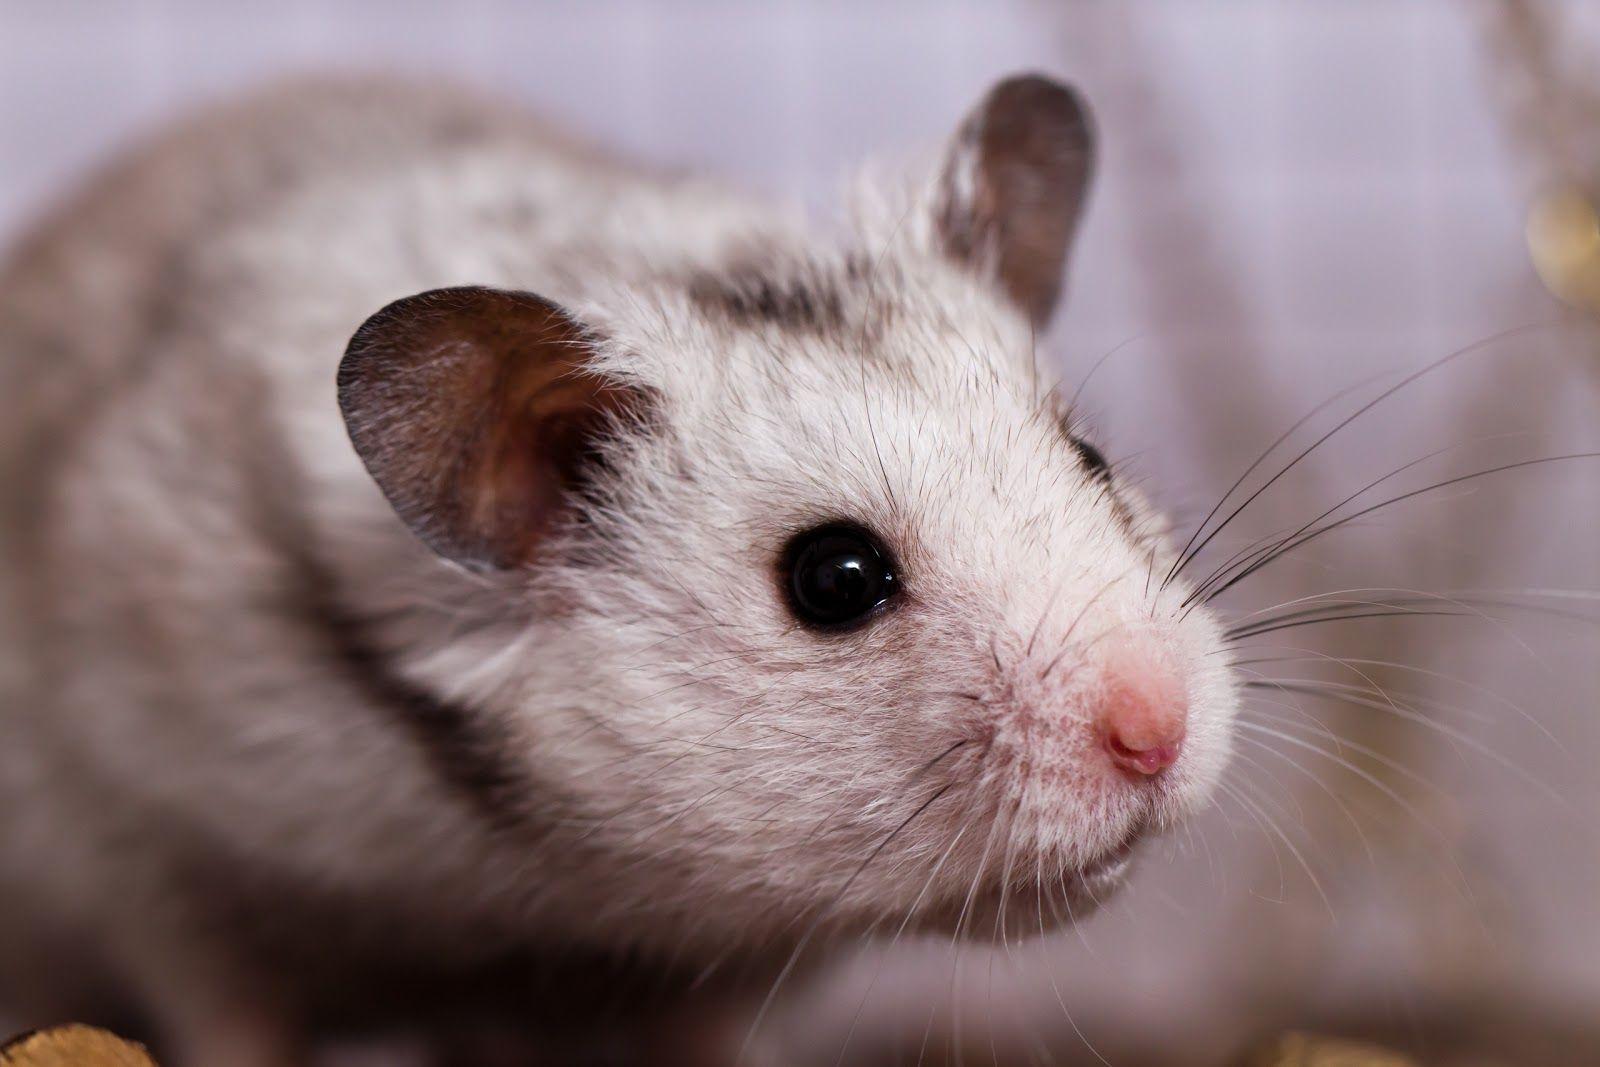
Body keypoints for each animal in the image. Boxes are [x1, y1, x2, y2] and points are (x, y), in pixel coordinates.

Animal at [0, 74, 1237, 1065]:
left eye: (1091, 458)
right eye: (834, 578)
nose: (1159, 727)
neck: (555, 884)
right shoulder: (162, 866)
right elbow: (229, 1020)